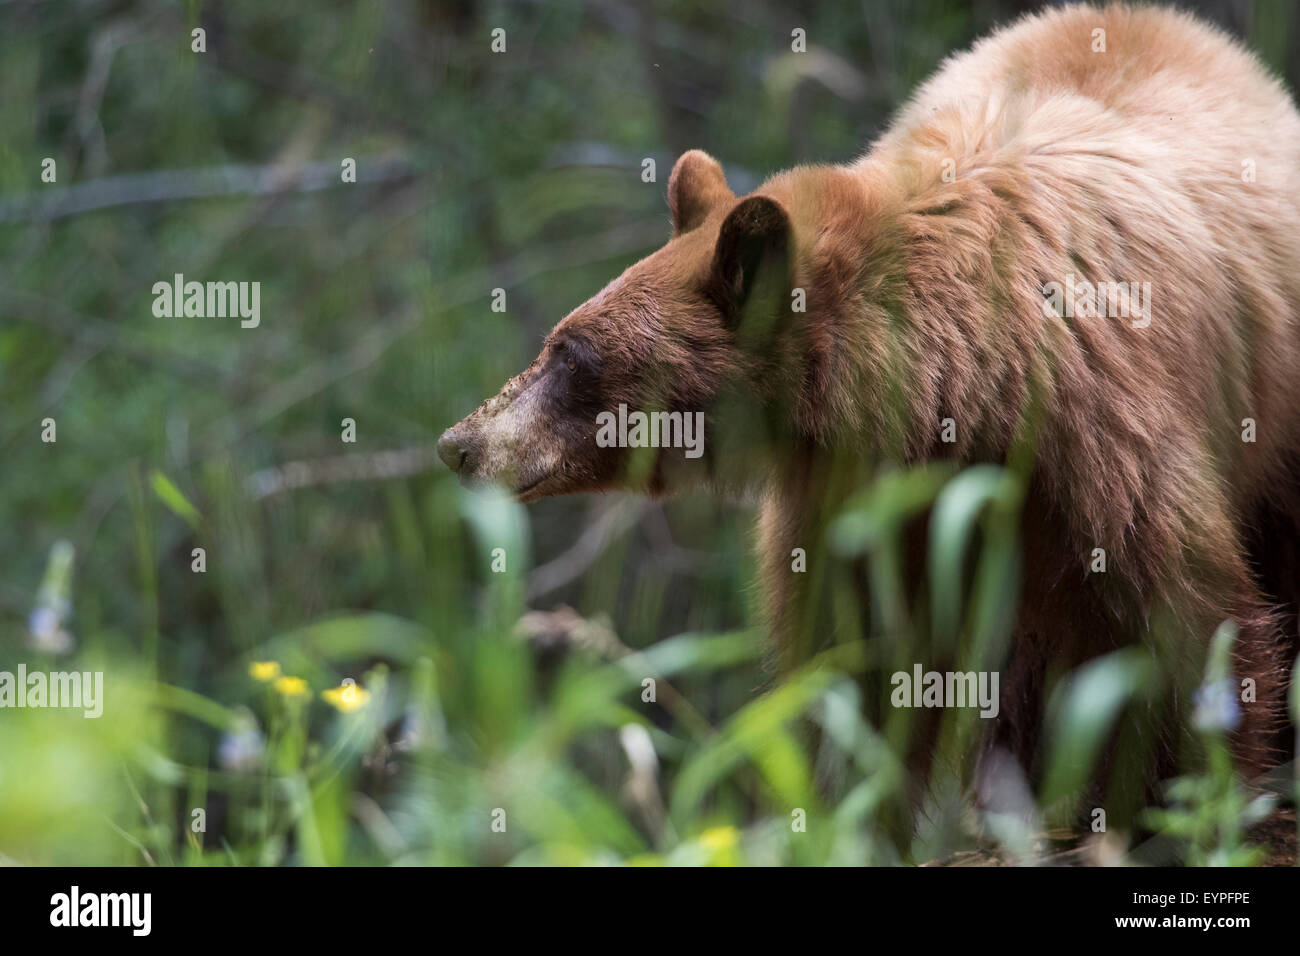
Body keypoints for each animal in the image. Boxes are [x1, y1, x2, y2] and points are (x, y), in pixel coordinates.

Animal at [441, 1, 1300, 806]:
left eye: (571, 355)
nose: (459, 444)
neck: (958, 384)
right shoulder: (855, 502)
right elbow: (857, 672)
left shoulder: (1100, 439)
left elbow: (1182, 639)